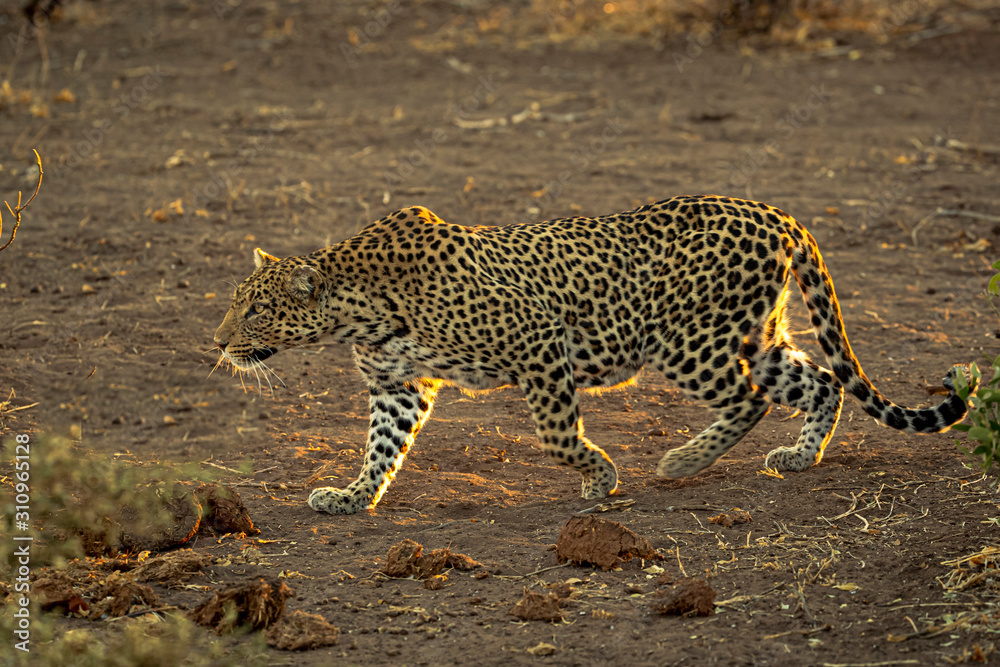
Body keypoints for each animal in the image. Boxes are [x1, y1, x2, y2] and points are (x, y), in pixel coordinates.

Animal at [213, 195, 969, 515]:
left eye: (254, 309)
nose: (217, 341)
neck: (356, 311)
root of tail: (777, 214)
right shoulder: (400, 385)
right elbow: (381, 447)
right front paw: (352, 495)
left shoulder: (538, 341)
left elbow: (555, 433)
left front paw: (598, 477)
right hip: (753, 334)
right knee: (818, 382)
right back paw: (799, 457)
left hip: (688, 341)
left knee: (752, 397)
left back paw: (681, 460)